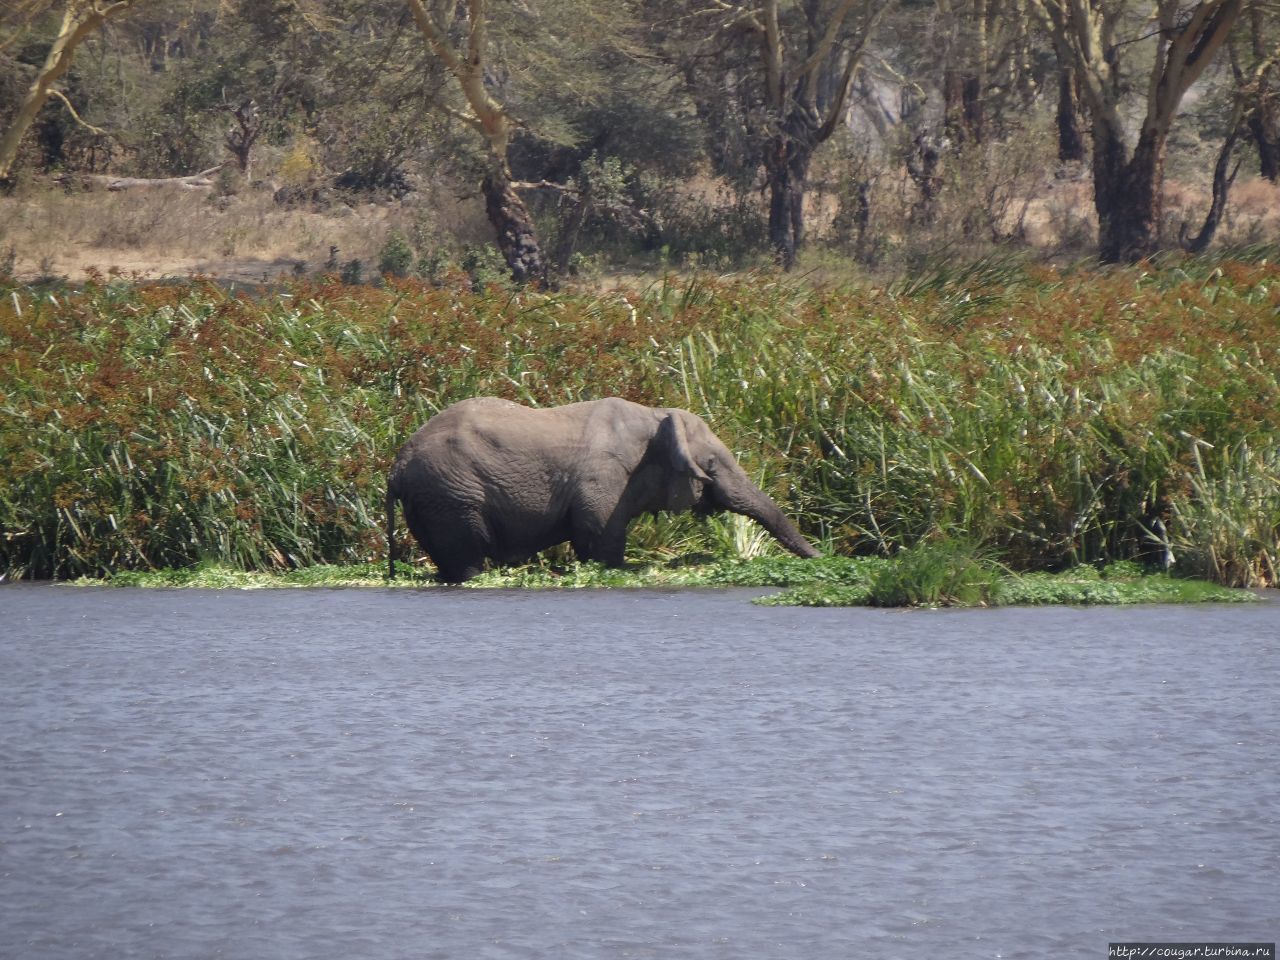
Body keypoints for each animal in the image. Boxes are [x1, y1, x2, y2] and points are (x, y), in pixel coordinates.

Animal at [381, 396, 819, 583]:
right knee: (467, 559)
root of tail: (396, 467)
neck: (655, 416)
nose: (822, 556)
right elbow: (599, 538)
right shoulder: (604, 476)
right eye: (710, 466)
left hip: (432, 500)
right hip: (451, 494)